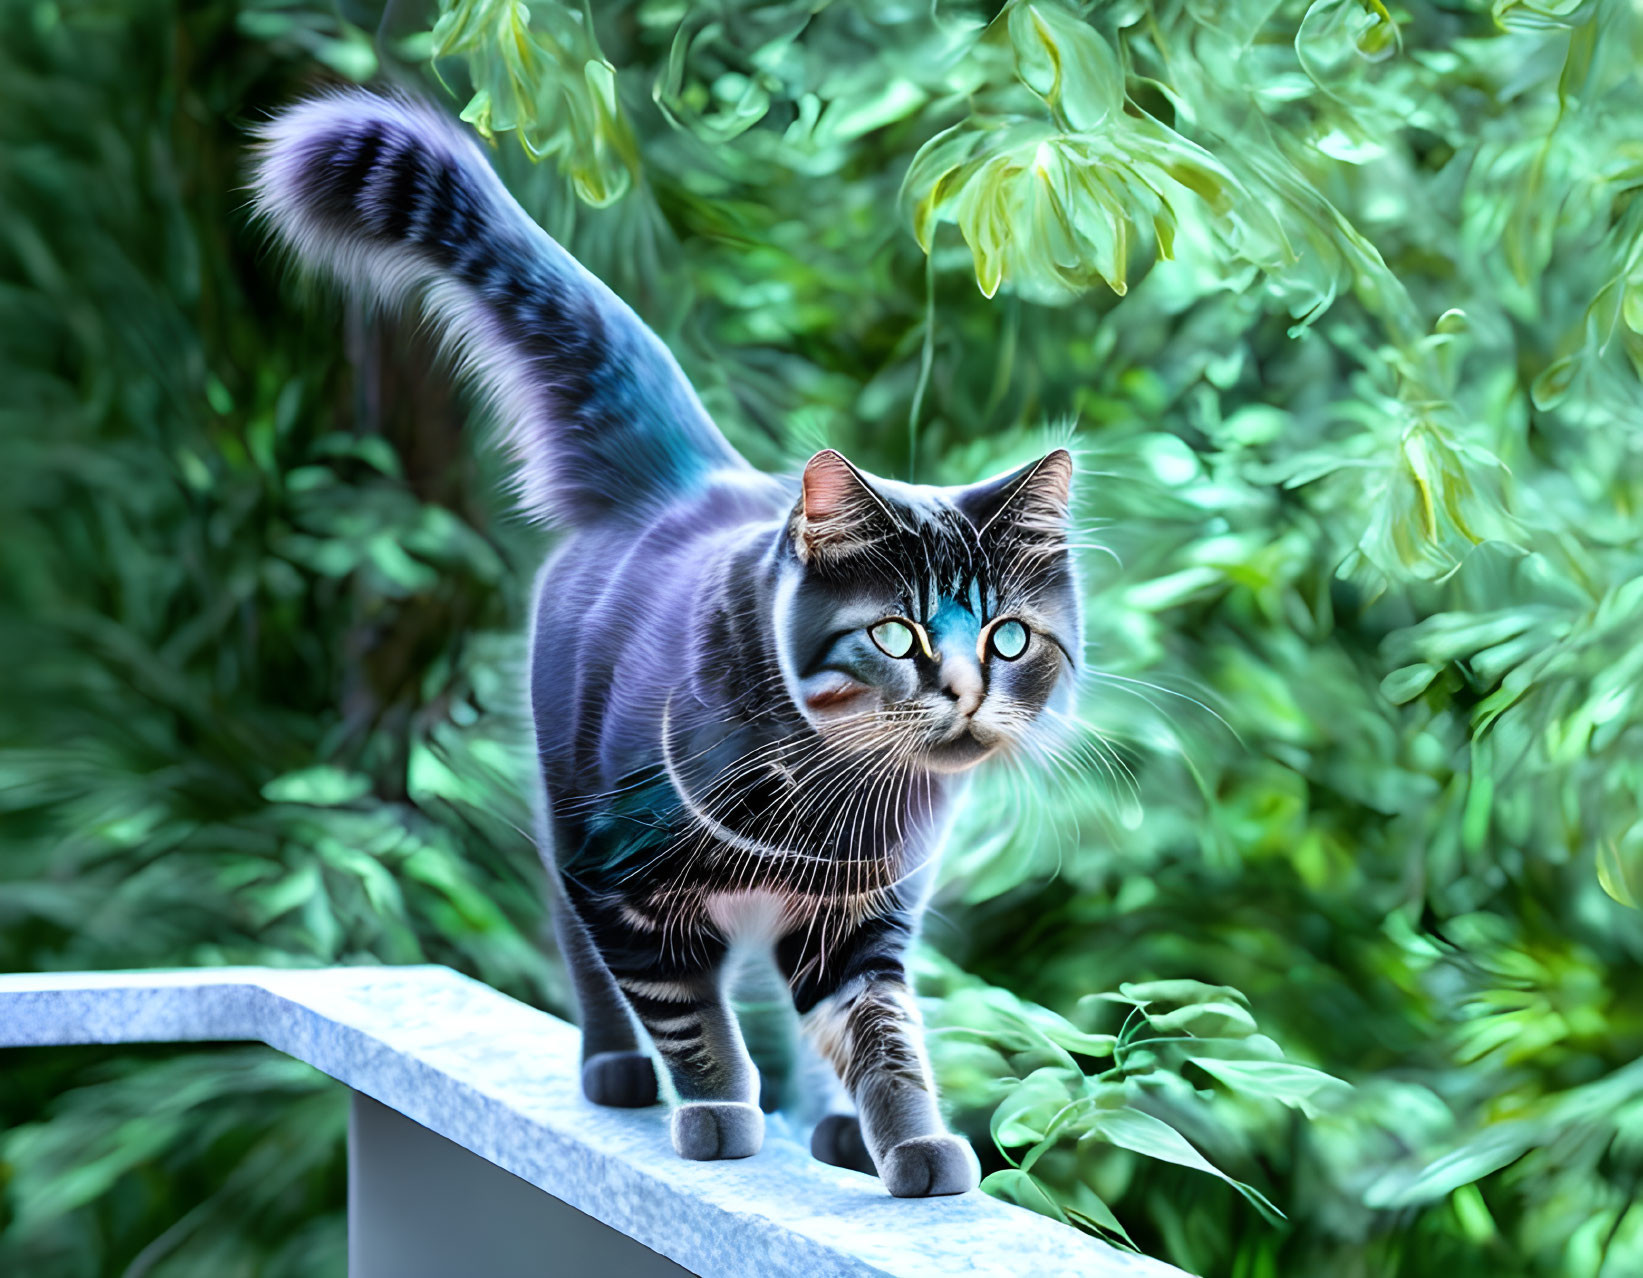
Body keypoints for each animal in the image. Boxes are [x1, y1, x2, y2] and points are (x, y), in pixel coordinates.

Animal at [249, 89, 1084, 1195]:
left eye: (1007, 638)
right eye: (895, 633)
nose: (963, 689)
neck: (827, 800)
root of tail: (689, 480)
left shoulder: (861, 919)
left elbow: (881, 1036)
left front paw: (907, 1142)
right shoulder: (621, 885)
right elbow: (688, 1017)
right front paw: (719, 1112)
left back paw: (830, 1130)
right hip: (563, 805)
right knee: (586, 963)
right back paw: (616, 1069)